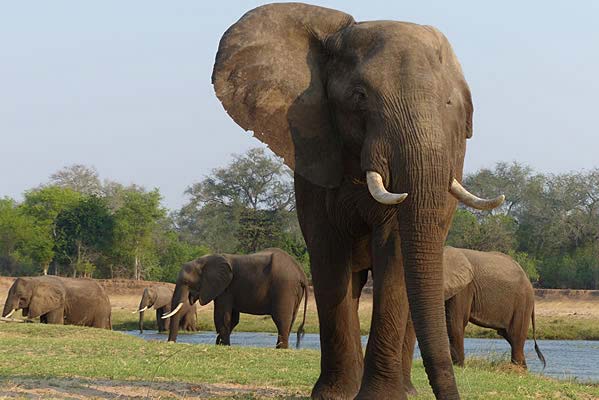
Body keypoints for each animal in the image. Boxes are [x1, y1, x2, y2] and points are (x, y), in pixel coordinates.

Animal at [213, 4, 504, 398]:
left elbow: (394, 252)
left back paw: (407, 391)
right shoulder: (314, 152)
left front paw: (380, 397)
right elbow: (329, 256)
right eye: (359, 96)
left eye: (448, 104)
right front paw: (333, 395)